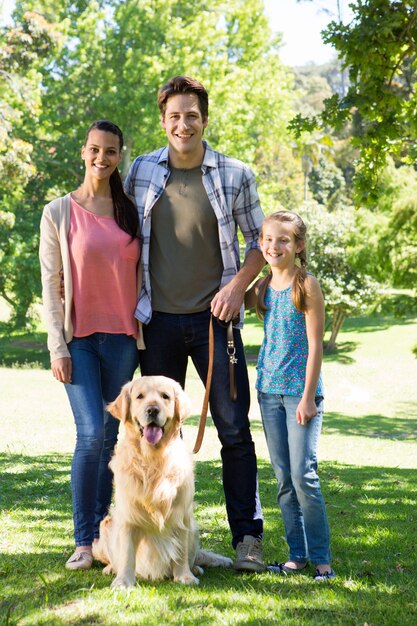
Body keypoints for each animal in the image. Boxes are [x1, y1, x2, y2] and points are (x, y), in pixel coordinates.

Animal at [92, 376, 232, 584]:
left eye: (165, 396)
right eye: (140, 396)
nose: (152, 410)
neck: (153, 460)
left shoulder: (181, 514)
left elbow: (181, 552)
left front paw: (184, 576)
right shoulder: (128, 515)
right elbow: (126, 552)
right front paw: (124, 581)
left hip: (194, 528)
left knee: (193, 555)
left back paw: (195, 568)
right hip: (106, 524)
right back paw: (111, 569)